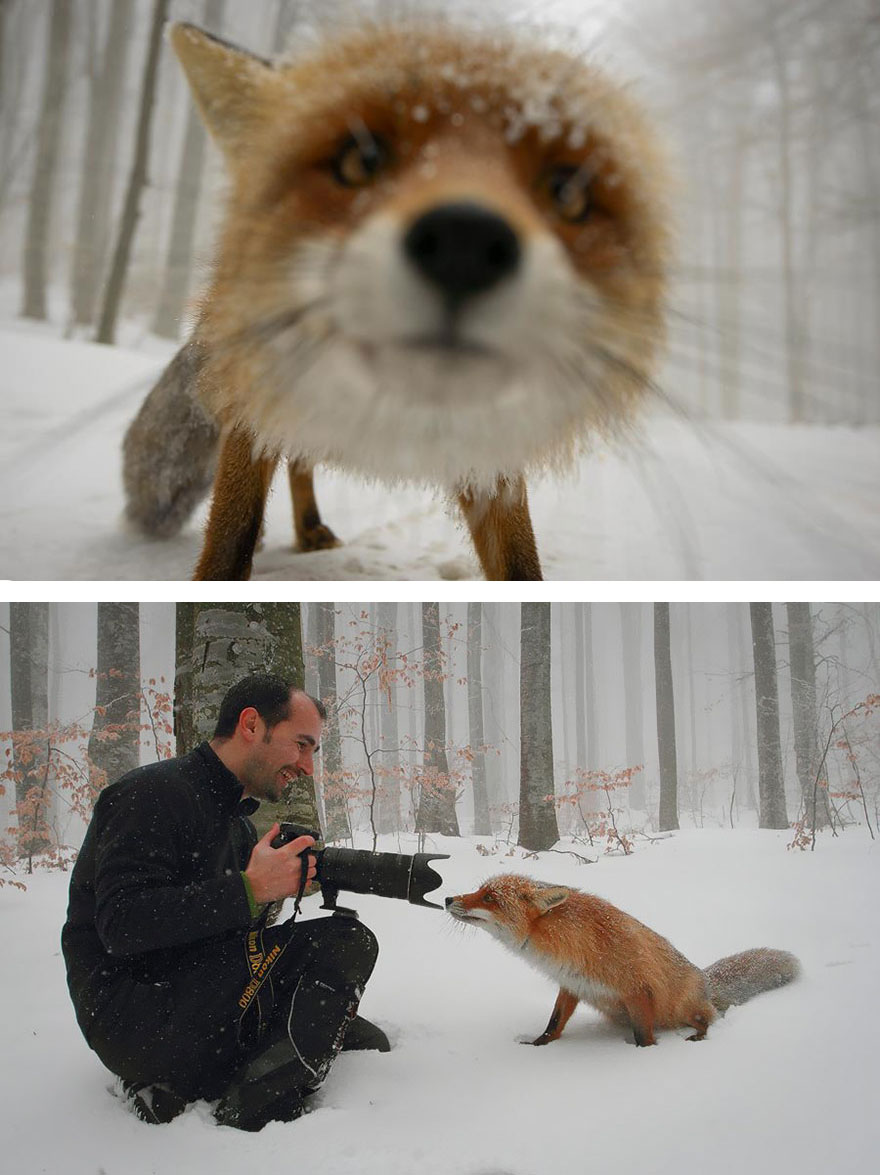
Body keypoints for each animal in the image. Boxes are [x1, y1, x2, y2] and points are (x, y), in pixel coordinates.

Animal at [122, 11, 671, 580]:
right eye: (358, 161)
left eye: (566, 191)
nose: (463, 244)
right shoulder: (252, 402)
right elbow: (231, 541)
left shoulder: (489, 447)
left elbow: (521, 565)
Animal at [446, 874, 800, 1047]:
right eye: (479, 890)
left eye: (489, 898)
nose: (448, 898)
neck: (571, 943)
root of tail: (706, 981)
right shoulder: (571, 984)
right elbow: (553, 1024)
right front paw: (538, 1046)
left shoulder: (637, 990)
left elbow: (644, 1036)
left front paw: (642, 1058)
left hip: (683, 1007)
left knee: (710, 1019)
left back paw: (699, 1036)